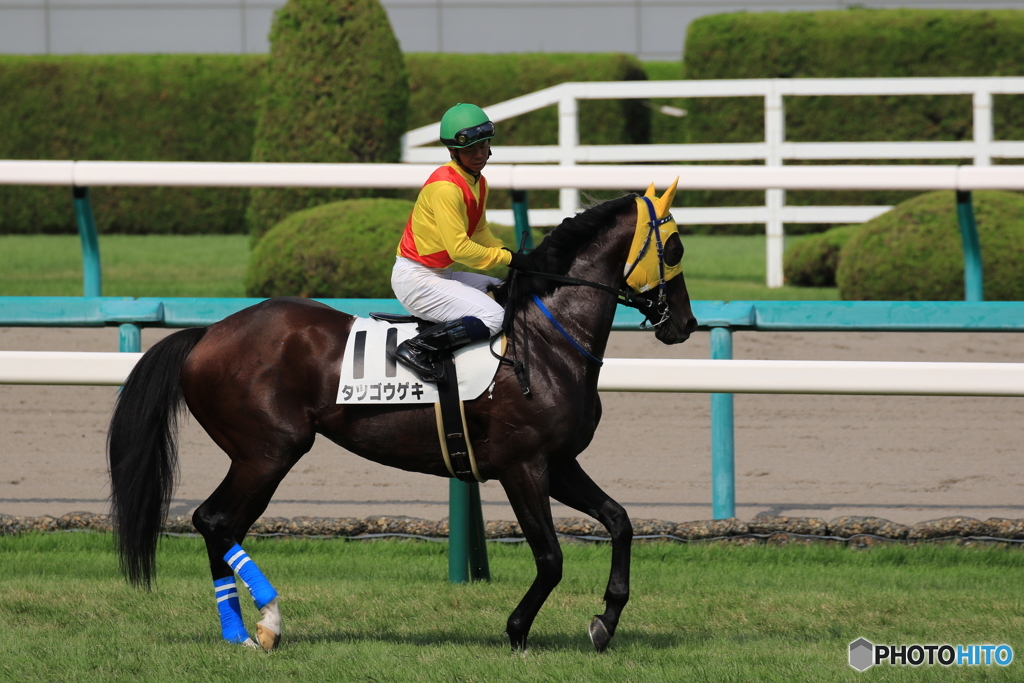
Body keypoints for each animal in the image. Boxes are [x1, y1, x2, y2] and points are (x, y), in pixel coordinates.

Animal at [106, 179, 697, 652]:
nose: (685, 324)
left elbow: (619, 521)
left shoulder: (558, 463)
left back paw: (245, 630)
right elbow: (551, 558)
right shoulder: (523, 465)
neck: (547, 341)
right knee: (213, 519)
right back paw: (264, 622)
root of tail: (207, 333)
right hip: (269, 451)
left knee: (222, 525)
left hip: (260, 457)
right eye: (675, 245)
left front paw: (606, 620)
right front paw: (517, 630)